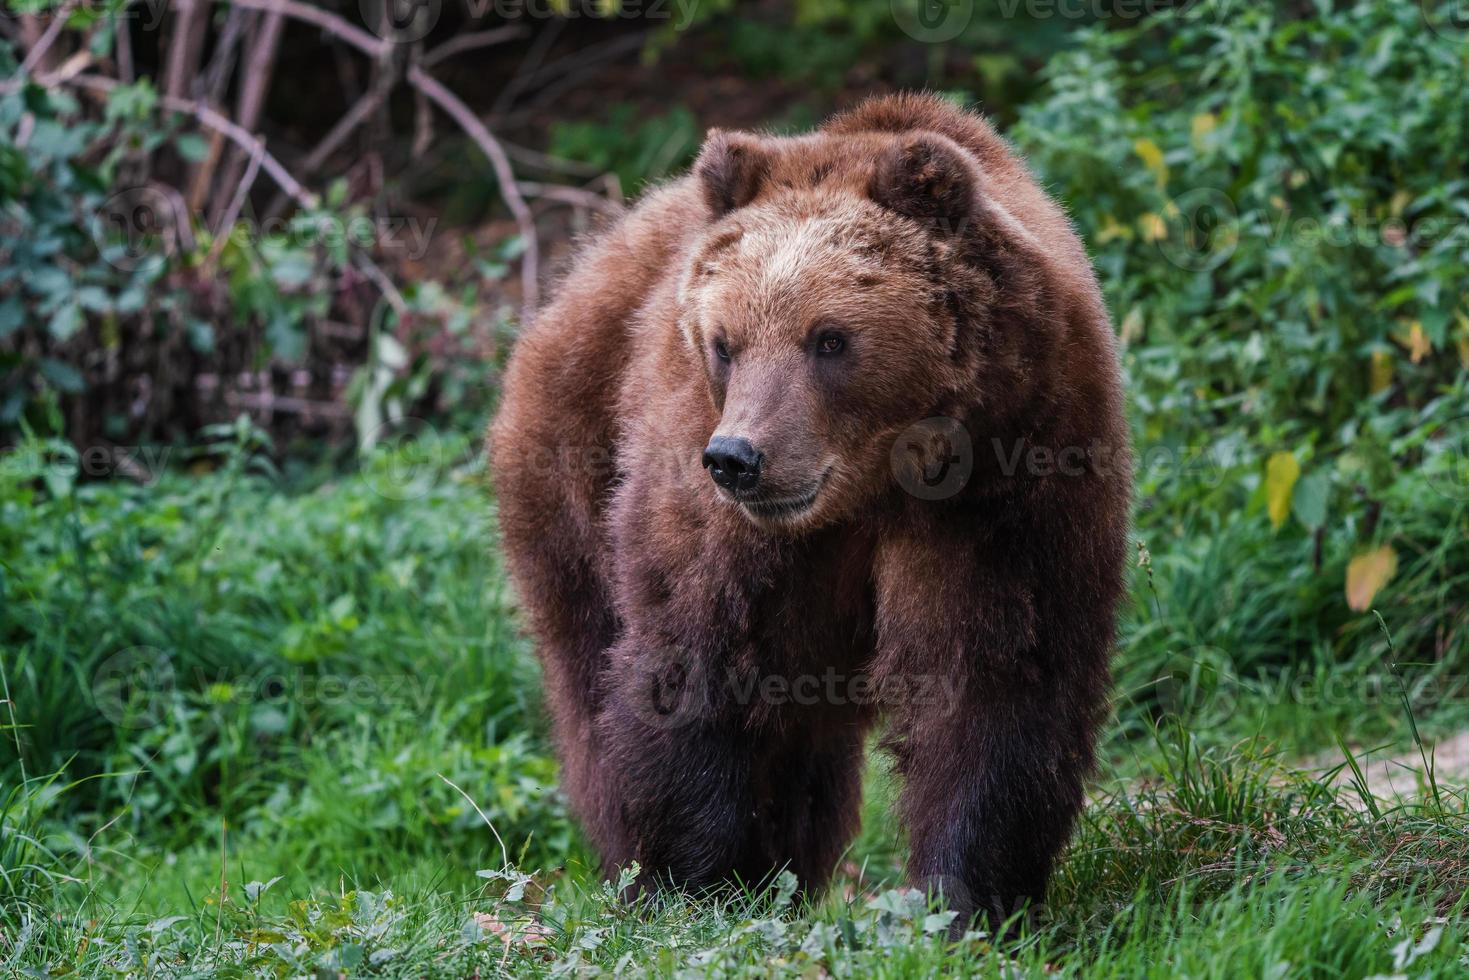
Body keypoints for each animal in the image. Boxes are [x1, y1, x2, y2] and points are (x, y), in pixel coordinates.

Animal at [487, 94, 1128, 934]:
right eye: (724, 342)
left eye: (829, 338)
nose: (737, 458)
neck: (874, 483)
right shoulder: (711, 500)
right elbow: (700, 658)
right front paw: (695, 881)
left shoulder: (1013, 474)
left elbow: (997, 671)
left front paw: (968, 898)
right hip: (572, 457)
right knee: (595, 666)